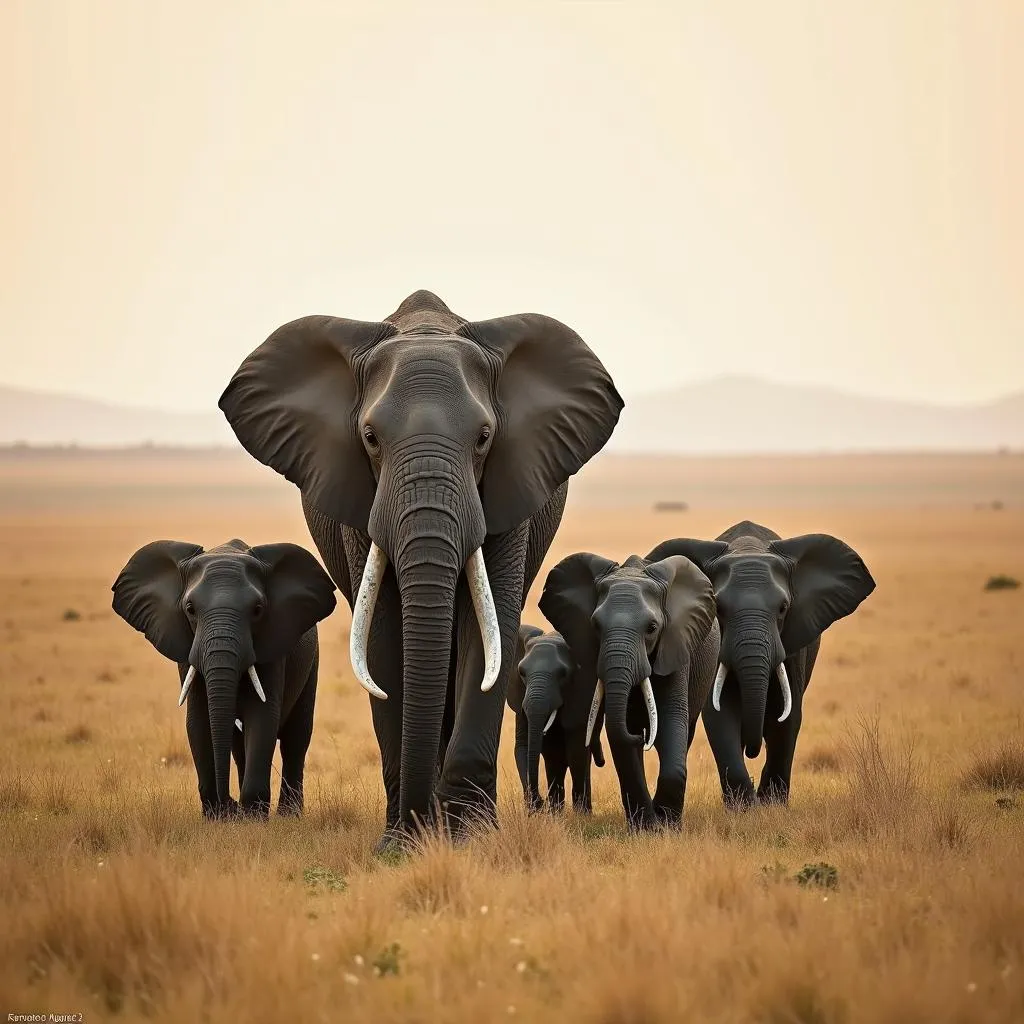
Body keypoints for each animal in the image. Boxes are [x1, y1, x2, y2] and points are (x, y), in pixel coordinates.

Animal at [111, 540, 335, 819]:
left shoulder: (272, 648)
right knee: (239, 746)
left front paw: (252, 818)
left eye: (258, 610)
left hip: (312, 660)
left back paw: (288, 815)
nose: (229, 804)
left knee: (296, 737)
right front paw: (219, 817)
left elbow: (262, 716)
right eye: (190, 609)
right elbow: (198, 720)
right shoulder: (187, 650)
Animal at [505, 622, 602, 815]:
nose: (539, 804)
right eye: (522, 673)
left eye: (563, 674)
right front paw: (548, 812)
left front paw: (580, 816)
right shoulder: (520, 701)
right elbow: (526, 746)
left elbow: (576, 750)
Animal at [536, 548, 720, 827]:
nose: (640, 737)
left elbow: (671, 717)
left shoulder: (676, 645)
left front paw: (666, 824)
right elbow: (619, 735)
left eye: (652, 628)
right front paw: (645, 827)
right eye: (595, 626)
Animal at [651, 524, 876, 802]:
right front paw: (745, 806)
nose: (752, 750)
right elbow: (719, 713)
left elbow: (786, 713)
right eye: (719, 609)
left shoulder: (792, 644)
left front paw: (771, 804)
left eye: (783, 608)